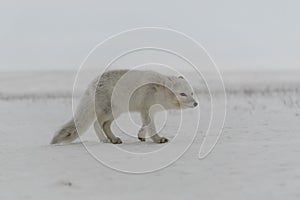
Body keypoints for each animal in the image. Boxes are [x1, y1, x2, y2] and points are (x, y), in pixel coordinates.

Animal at [50, 69, 198, 145]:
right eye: (182, 94)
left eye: (191, 93)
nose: (196, 103)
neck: (159, 92)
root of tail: (94, 82)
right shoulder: (145, 109)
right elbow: (150, 126)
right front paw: (157, 139)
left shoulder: (148, 111)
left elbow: (145, 126)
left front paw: (141, 136)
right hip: (110, 111)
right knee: (96, 124)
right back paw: (106, 140)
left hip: (115, 112)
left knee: (104, 125)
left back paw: (112, 139)